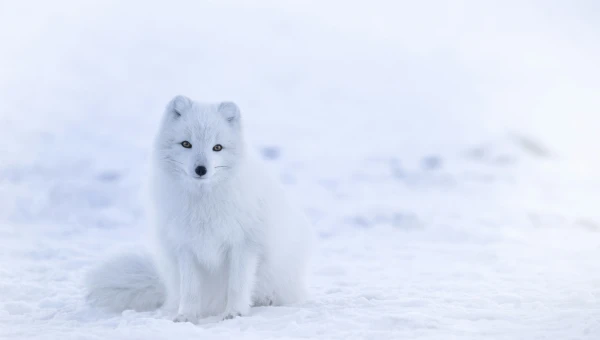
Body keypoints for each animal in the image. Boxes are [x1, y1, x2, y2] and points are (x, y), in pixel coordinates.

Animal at [88, 95, 314, 322]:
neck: (203, 203)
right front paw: (186, 316)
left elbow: (237, 285)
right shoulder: (185, 247)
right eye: (186, 144)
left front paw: (234, 313)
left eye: (217, 147)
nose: (201, 169)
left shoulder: (244, 245)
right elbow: (190, 290)